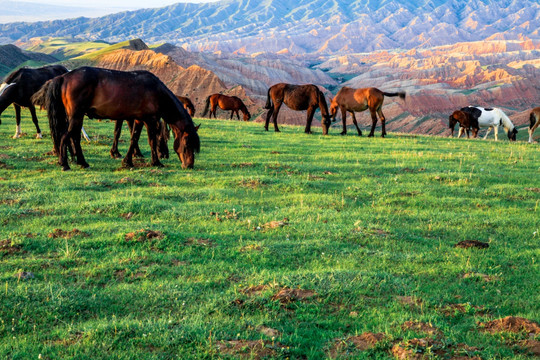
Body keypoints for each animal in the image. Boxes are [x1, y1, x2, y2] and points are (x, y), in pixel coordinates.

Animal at [31, 66, 200, 172]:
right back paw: (65, 164)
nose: (189, 165)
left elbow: (134, 139)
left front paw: (127, 161)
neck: (156, 91)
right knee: (66, 137)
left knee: (75, 138)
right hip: (76, 116)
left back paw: (82, 162)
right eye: (187, 144)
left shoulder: (139, 120)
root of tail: (64, 77)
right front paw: (156, 162)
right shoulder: (150, 120)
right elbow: (152, 140)